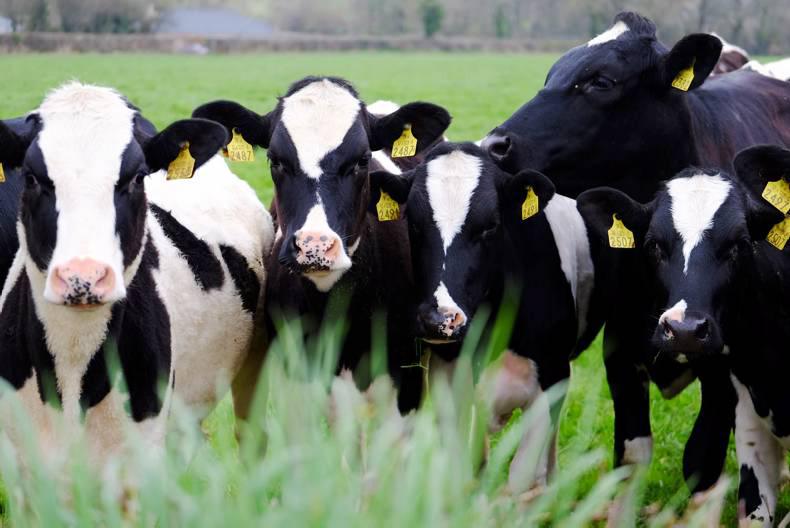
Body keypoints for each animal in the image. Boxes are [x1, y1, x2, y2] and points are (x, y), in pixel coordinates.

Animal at [369, 142, 598, 493]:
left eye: (490, 225)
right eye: (414, 225)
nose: (439, 318)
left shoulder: (551, 376)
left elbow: (521, 477)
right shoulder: (450, 379)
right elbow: (461, 470)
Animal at [577, 144, 790, 526]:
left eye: (739, 244)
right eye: (653, 245)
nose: (684, 329)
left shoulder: (722, 381)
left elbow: (701, 461)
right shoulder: (619, 358)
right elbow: (631, 457)